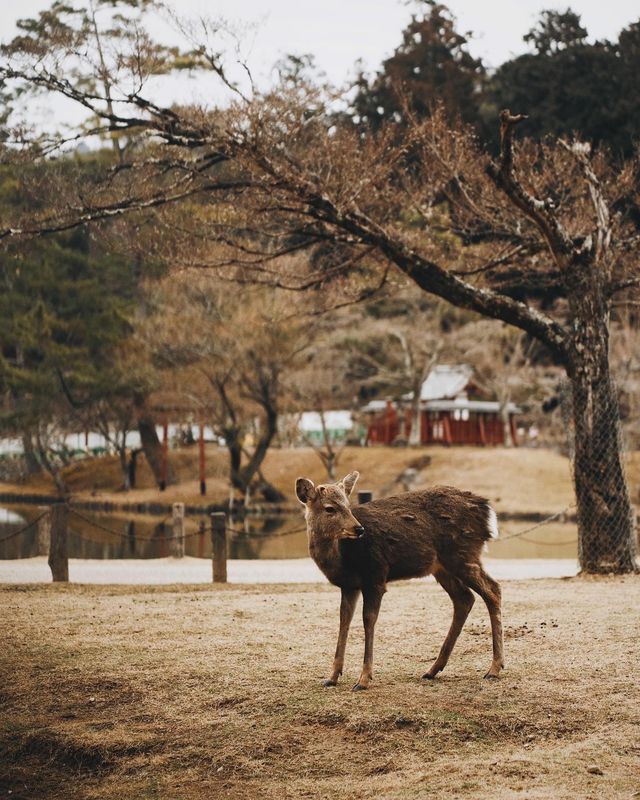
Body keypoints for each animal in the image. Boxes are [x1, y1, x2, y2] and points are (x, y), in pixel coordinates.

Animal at [296, 472, 504, 692]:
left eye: (347, 504)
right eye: (330, 508)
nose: (359, 528)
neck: (341, 557)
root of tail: (487, 509)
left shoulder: (375, 575)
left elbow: (368, 620)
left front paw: (363, 679)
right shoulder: (349, 585)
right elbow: (344, 621)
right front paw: (332, 677)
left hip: (463, 555)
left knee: (493, 590)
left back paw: (494, 669)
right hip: (442, 567)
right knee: (464, 598)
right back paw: (433, 669)